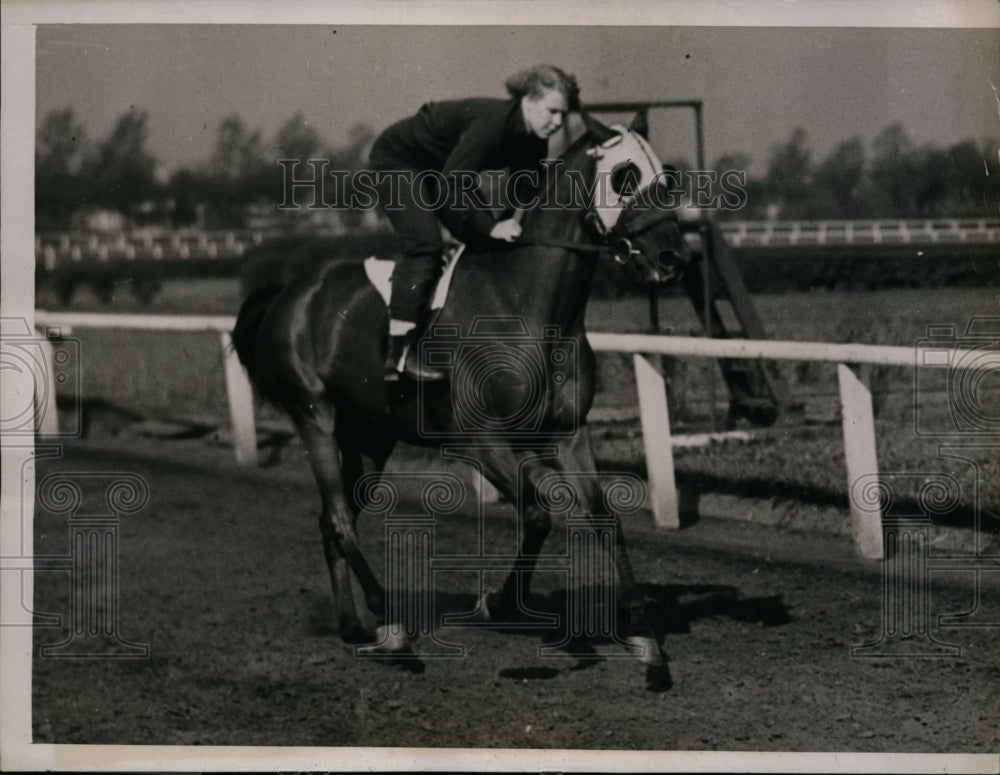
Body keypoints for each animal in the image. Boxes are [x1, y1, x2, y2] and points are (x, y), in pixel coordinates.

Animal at [232, 112, 688, 688]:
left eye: (666, 176)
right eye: (626, 176)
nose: (673, 259)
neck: (528, 307)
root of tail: (287, 292)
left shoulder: (567, 434)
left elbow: (604, 519)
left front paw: (649, 647)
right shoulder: (482, 442)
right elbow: (538, 514)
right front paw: (498, 602)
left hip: (370, 432)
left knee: (333, 518)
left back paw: (353, 627)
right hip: (314, 412)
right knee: (337, 517)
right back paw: (392, 627)